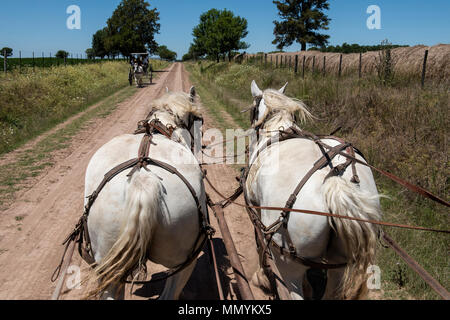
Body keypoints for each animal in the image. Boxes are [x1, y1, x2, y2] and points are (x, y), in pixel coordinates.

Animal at [244, 81, 382, 302]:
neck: (277, 130)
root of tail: (334, 182)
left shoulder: (255, 209)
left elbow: (259, 244)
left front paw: (262, 277)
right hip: (339, 262)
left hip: (288, 261)